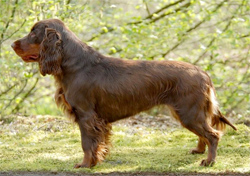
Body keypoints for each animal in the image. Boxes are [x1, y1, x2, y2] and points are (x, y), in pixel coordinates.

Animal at [10, 18, 236, 168]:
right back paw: (198, 150)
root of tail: (203, 72)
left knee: (213, 135)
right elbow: (99, 142)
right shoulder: (98, 119)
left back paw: (208, 160)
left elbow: (86, 143)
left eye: (33, 33)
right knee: (204, 134)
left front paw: (85, 165)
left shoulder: (86, 115)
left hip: (189, 112)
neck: (72, 64)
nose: (12, 44)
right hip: (188, 113)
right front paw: (99, 158)